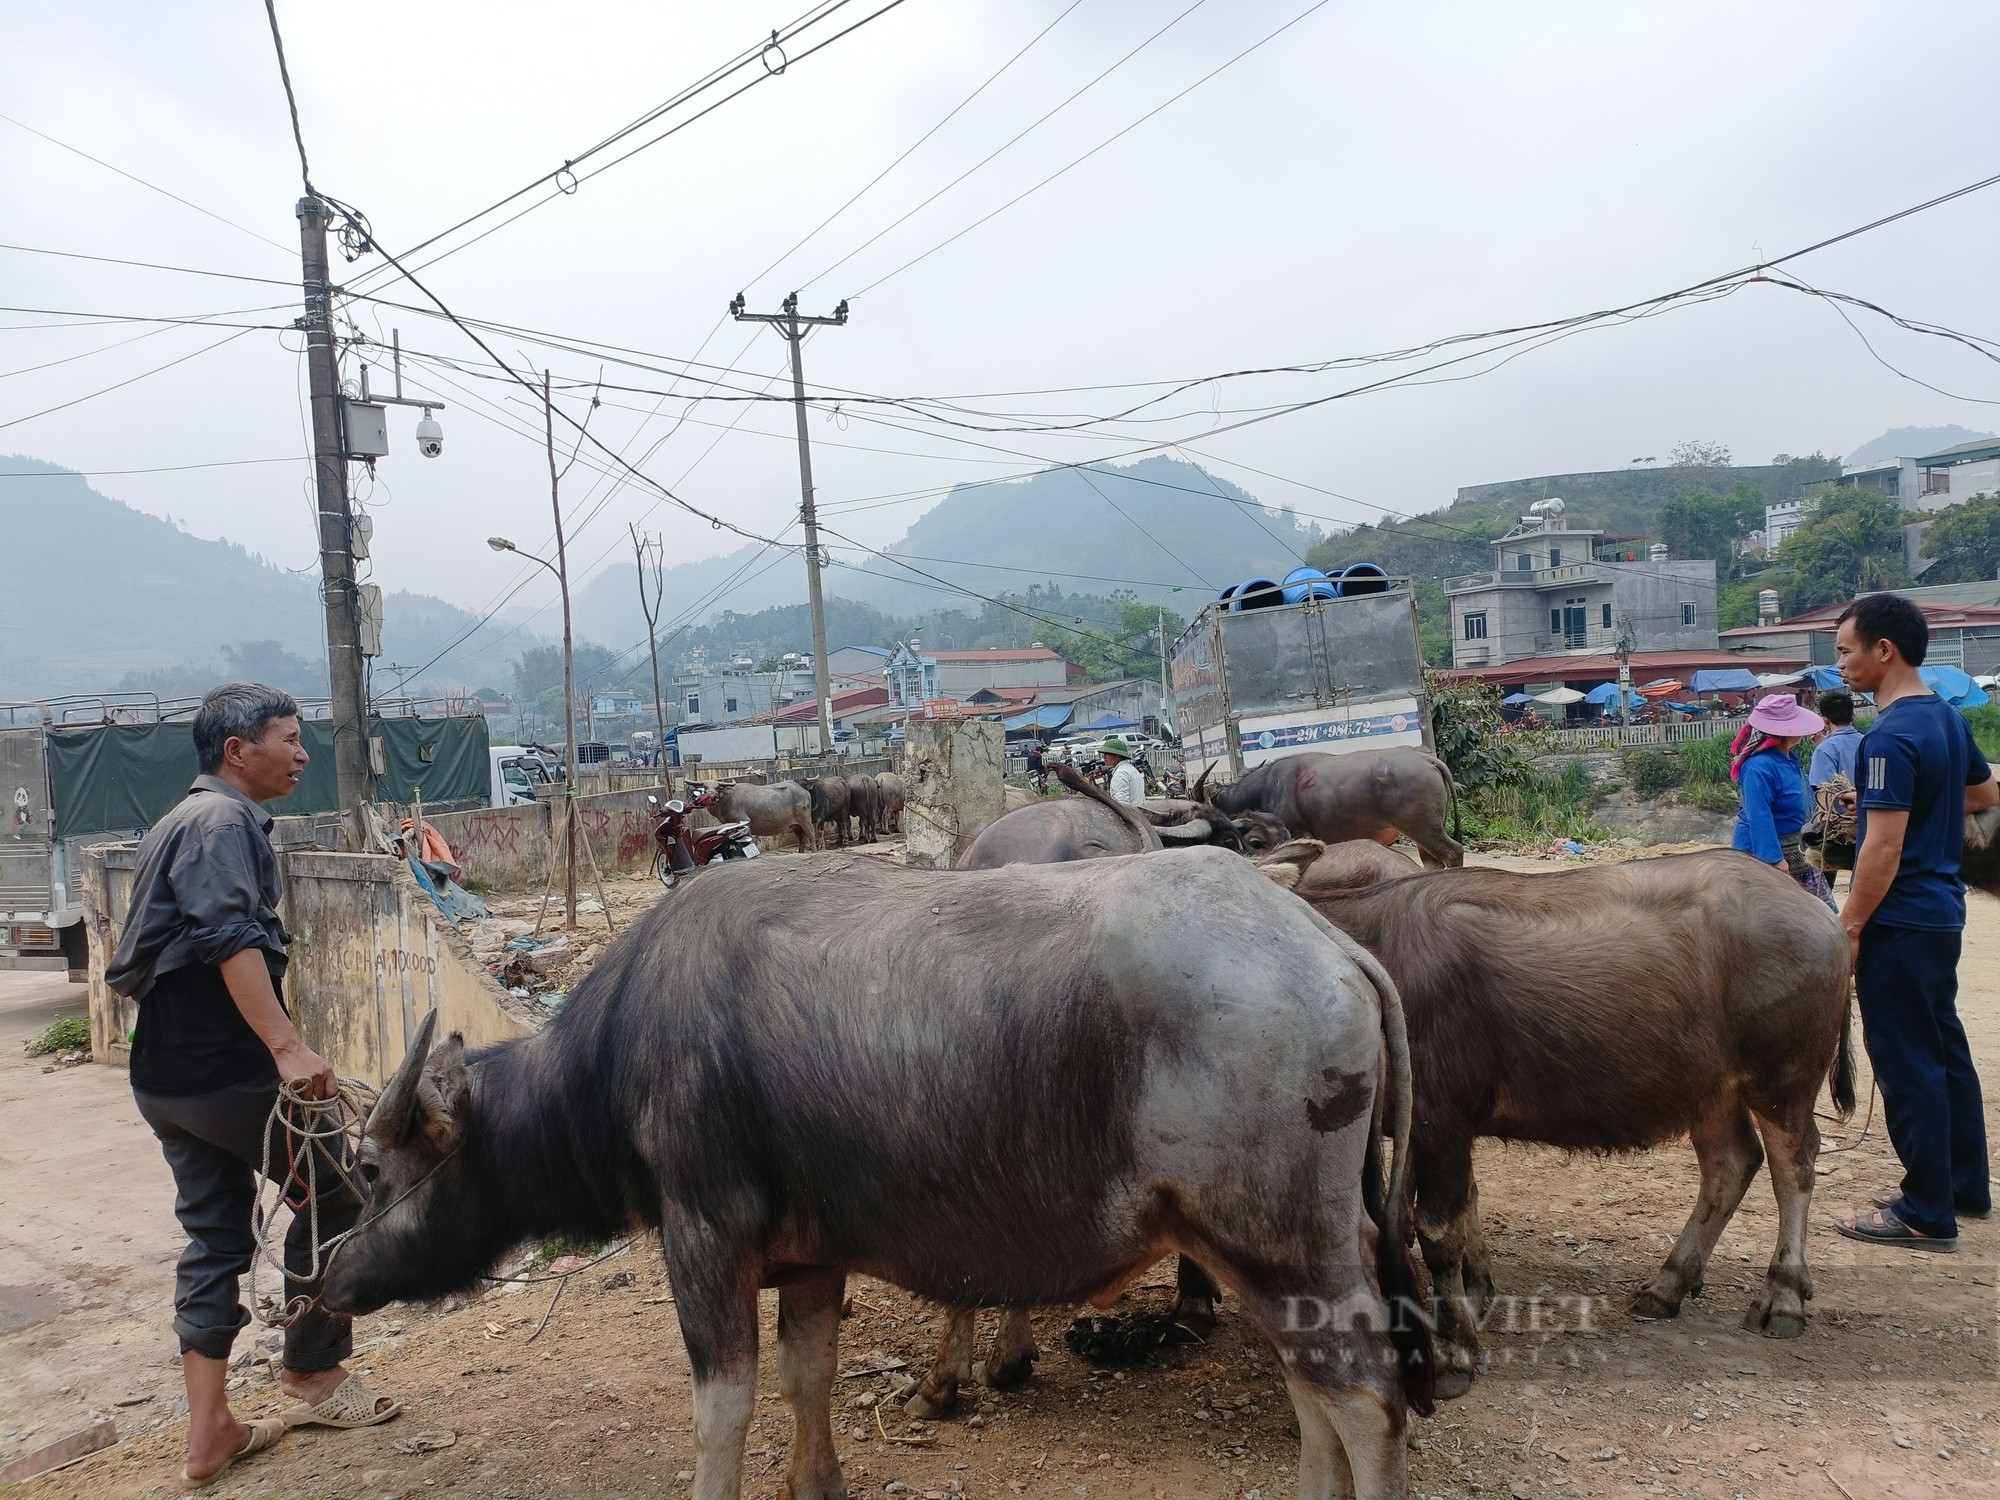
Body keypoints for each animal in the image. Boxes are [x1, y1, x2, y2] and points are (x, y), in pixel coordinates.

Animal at [324, 852, 1424, 1500]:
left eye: (370, 1166)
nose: (328, 1279)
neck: (620, 1051)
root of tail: (1328, 944)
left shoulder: (704, 1244)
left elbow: (723, 1408)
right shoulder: (811, 1261)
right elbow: (808, 1379)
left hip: (1285, 1246)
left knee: (1367, 1401)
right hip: (1266, 1254)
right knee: (1312, 1389)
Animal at [1200, 748, 1472, 868]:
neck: (1266, 785)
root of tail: (1428, 759)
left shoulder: (1298, 834)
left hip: (1425, 829)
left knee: (1453, 852)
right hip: (1426, 832)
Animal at [1304, 856, 1848, 1400]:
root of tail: (1820, 913)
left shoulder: (1442, 1120)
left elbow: (1438, 1231)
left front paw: (1454, 1353)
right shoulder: (1418, 1127)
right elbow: (1413, 1216)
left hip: (1783, 1082)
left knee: (1794, 1170)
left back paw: (1782, 1298)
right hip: (1712, 1092)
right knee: (1731, 1163)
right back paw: (1667, 1286)